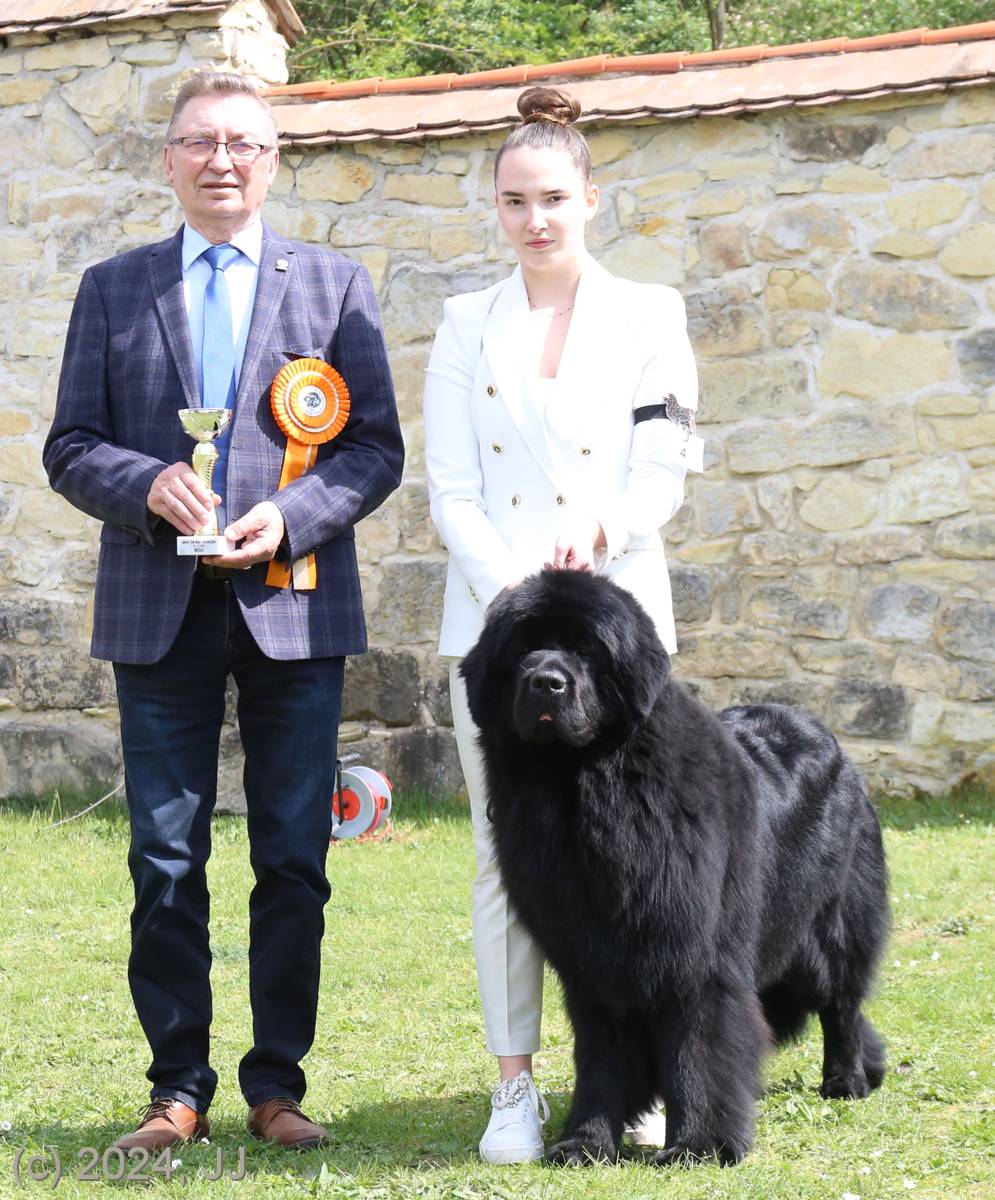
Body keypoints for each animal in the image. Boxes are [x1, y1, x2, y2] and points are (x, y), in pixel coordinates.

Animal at [460, 569, 888, 1166]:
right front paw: (585, 1141)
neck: (584, 791)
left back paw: (845, 1080)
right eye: (523, 648)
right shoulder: (590, 959)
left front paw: (699, 1145)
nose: (546, 681)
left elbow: (699, 1048)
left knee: (841, 1002)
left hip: (831, 923)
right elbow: (601, 1056)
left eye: (587, 649)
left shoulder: (698, 952)